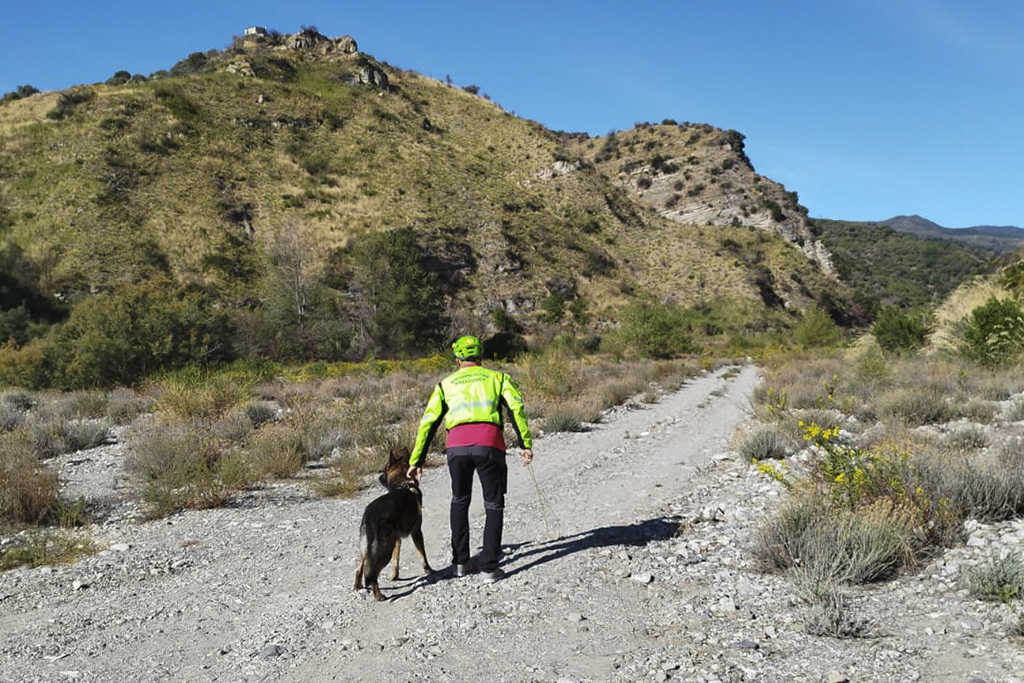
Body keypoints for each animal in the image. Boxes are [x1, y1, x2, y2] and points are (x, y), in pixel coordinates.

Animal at [354, 450, 434, 602]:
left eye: (385, 469)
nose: (379, 476)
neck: (401, 483)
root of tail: (371, 516)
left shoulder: (397, 540)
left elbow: (396, 561)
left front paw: (394, 576)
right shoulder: (417, 533)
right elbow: (423, 555)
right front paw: (429, 571)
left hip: (367, 549)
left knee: (359, 568)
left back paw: (357, 587)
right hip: (384, 551)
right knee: (373, 574)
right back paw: (378, 595)